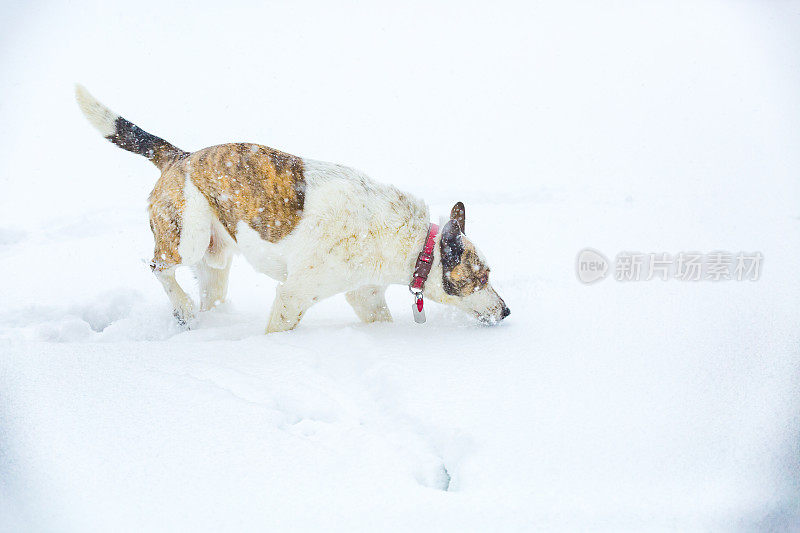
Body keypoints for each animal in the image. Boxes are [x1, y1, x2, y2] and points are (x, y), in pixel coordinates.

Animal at [78, 84, 510, 330]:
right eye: (483, 277)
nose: (506, 311)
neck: (414, 243)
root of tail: (180, 157)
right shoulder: (294, 295)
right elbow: (279, 326)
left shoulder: (365, 294)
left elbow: (378, 318)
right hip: (189, 236)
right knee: (159, 267)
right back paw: (182, 309)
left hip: (215, 261)